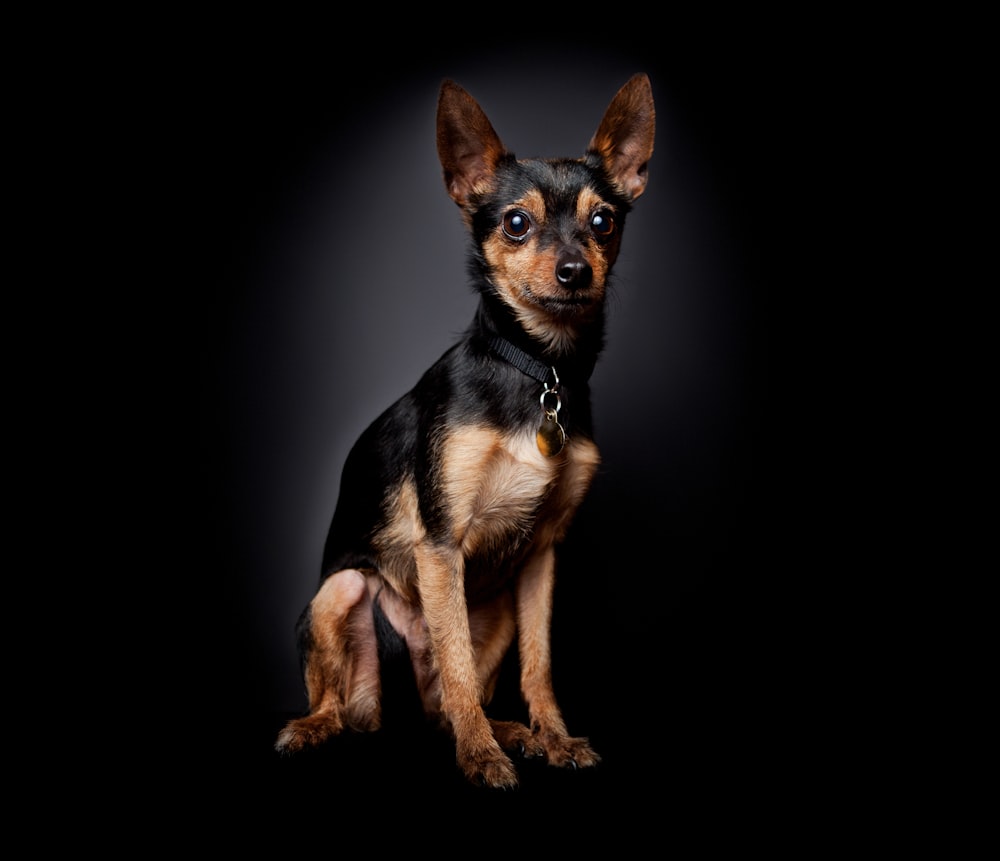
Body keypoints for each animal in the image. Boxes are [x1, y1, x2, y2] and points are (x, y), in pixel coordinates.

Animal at [276, 74, 656, 788]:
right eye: (516, 223)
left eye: (604, 221)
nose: (575, 272)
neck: (540, 368)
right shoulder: (441, 543)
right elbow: (455, 664)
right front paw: (481, 758)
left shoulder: (541, 558)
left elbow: (539, 664)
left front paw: (552, 737)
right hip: (341, 592)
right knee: (361, 700)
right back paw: (319, 727)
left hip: (497, 607)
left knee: (447, 704)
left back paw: (509, 730)